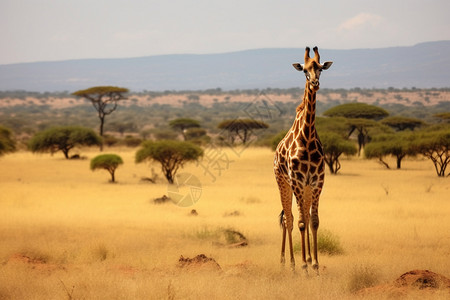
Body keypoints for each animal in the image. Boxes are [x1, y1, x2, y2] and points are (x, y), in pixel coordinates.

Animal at [272, 45, 332, 274]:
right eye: (305, 70)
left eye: (321, 68)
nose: (315, 84)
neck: (306, 137)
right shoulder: (297, 181)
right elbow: (299, 223)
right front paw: (305, 266)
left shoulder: (316, 182)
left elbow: (313, 221)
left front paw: (315, 265)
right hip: (283, 182)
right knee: (288, 219)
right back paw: (289, 263)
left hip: (303, 188)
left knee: (301, 216)